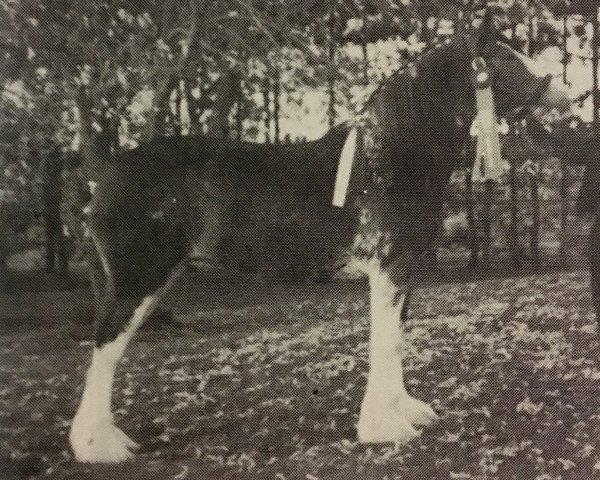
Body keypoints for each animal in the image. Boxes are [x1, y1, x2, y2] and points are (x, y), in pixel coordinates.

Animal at [68, 14, 568, 464]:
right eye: (502, 59)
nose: (561, 94)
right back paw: (99, 447)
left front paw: (406, 412)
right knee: (105, 348)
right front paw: (384, 429)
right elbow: (384, 342)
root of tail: (104, 177)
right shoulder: (388, 269)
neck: (387, 157)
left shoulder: (405, 271)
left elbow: (396, 339)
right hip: (137, 281)